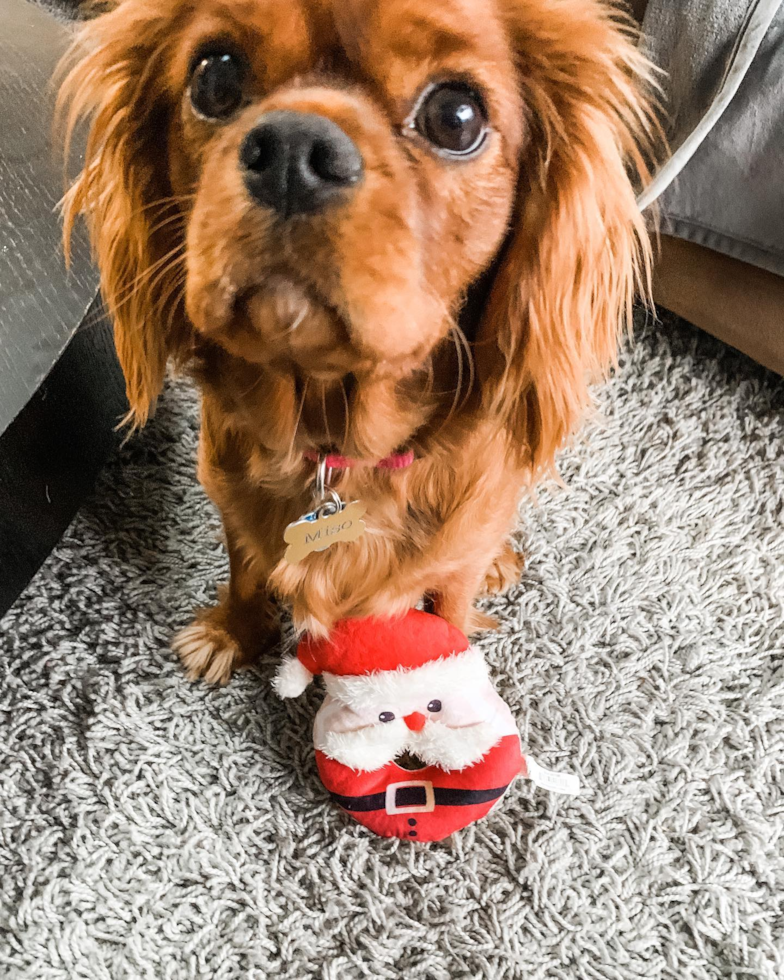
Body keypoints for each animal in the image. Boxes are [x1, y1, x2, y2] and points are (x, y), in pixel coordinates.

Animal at [56, 1, 656, 680]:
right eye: (215, 77)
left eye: (457, 117)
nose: (293, 150)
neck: (329, 437)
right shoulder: (231, 502)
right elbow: (243, 570)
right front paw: (232, 632)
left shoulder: (455, 564)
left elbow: (450, 611)